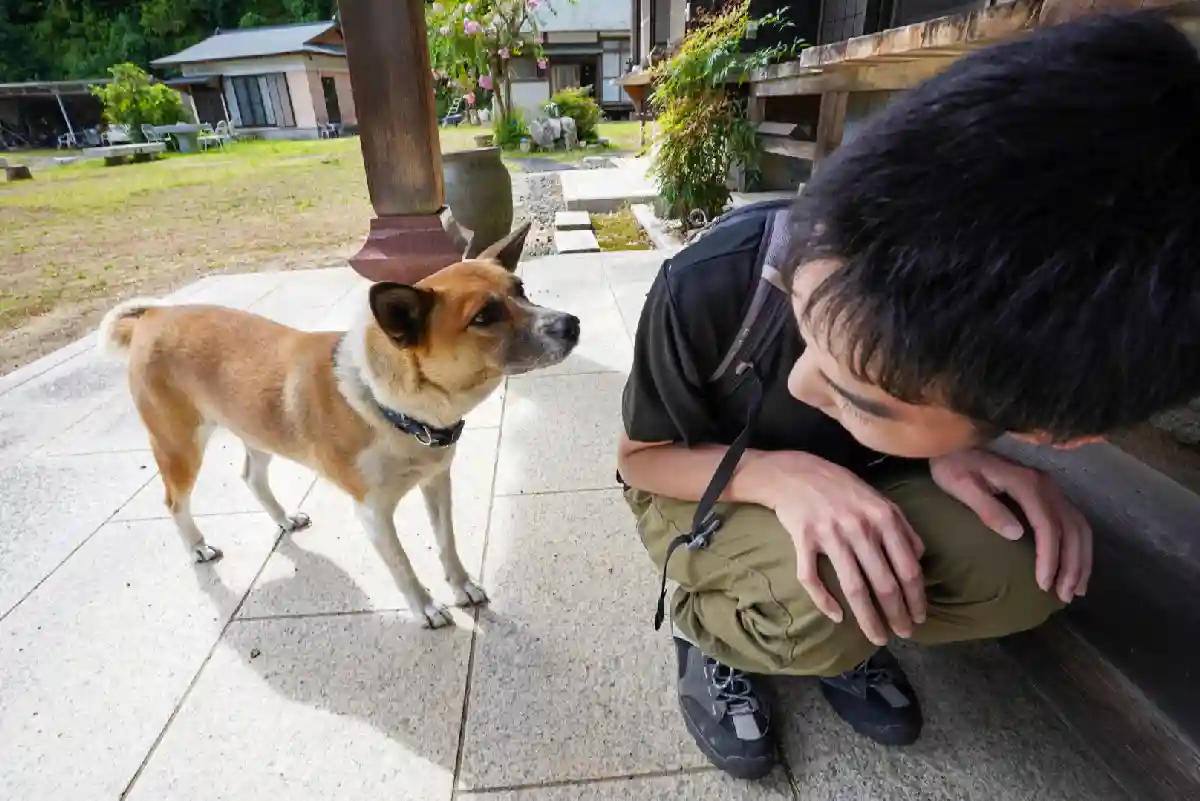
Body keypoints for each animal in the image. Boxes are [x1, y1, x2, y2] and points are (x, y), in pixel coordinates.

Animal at [97, 223, 580, 628]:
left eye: (521, 290)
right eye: (483, 317)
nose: (571, 324)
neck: (390, 407)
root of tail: (153, 316)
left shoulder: (437, 482)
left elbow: (447, 542)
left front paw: (461, 586)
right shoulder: (372, 512)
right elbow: (402, 563)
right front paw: (424, 607)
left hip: (258, 430)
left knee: (252, 476)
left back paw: (284, 518)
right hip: (178, 445)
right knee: (174, 501)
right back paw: (197, 545)